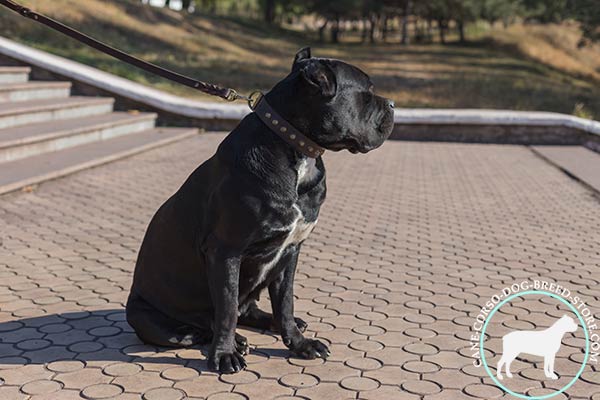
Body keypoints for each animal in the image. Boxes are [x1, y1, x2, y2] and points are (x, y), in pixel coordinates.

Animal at [126, 48, 394, 374]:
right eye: (366, 92)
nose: (392, 104)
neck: (298, 151)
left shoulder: (290, 251)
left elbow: (285, 302)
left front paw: (300, 343)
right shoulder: (225, 251)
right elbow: (226, 309)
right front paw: (224, 354)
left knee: (250, 310)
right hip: (152, 319)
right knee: (200, 327)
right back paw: (234, 340)